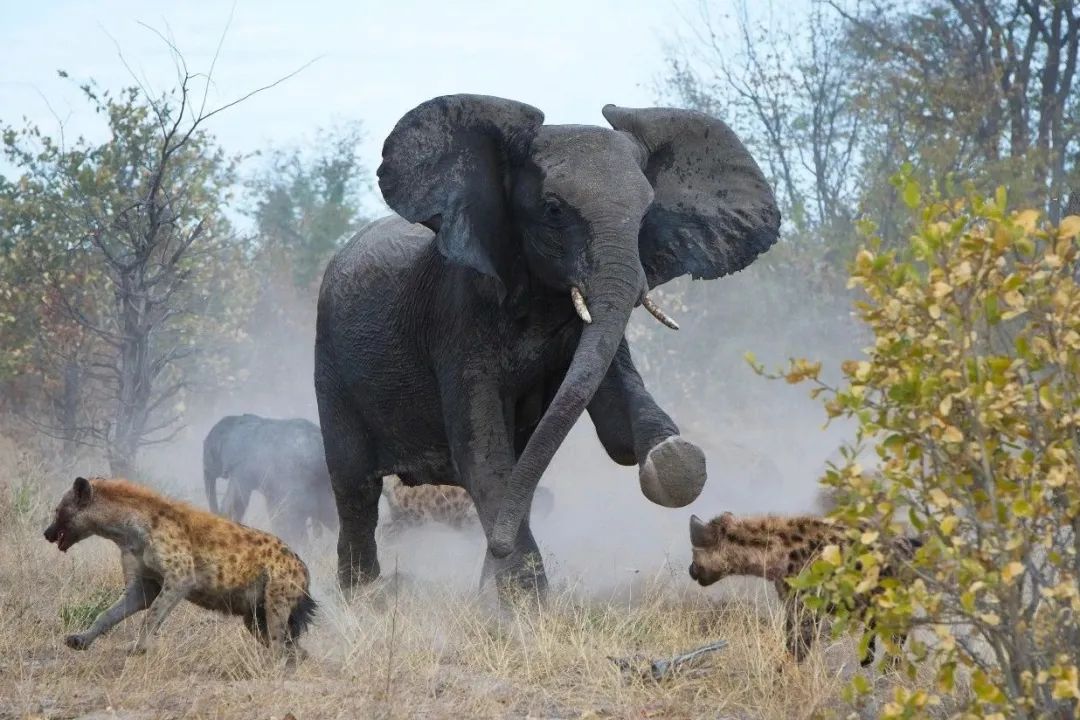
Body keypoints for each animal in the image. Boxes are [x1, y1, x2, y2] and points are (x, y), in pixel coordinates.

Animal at [44, 474, 315, 660]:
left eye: (57, 510)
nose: (46, 533)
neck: (128, 531)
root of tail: (303, 566)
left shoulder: (180, 577)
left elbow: (152, 614)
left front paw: (138, 648)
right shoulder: (142, 584)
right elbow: (108, 613)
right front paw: (79, 640)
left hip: (277, 597)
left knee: (279, 640)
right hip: (254, 616)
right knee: (292, 647)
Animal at [315, 91, 781, 595]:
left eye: (646, 214)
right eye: (554, 210)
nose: (497, 547)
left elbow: (617, 424)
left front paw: (674, 459)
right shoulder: (457, 312)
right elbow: (482, 452)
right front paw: (521, 600)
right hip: (329, 359)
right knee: (355, 488)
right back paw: (363, 596)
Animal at [686, 511, 915, 664]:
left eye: (693, 556)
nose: (690, 570)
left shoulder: (806, 601)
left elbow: (797, 644)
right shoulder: (790, 599)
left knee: (897, 635)